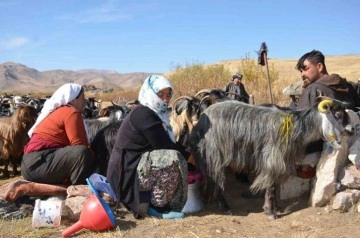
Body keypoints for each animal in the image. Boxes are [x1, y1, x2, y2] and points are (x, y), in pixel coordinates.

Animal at [188, 98, 354, 219]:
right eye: (338, 114)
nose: (352, 130)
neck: (294, 127)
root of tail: (201, 120)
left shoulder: (281, 162)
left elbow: (274, 186)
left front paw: (276, 208)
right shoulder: (272, 160)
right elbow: (270, 186)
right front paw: (270, 212)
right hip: (214, 154)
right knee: (216, 178)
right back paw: (224, 207)